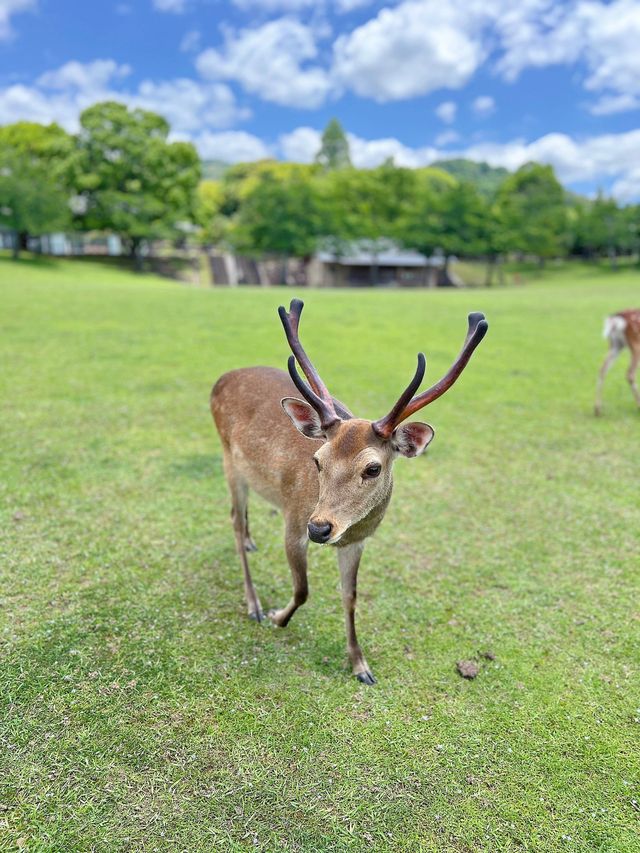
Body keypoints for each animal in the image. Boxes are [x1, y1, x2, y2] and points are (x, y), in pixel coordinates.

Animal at [212, 302, 488, 684]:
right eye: (317, 459)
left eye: (372, 469)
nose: (319, 528)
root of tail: (221, 379)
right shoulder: (293, 520)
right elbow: (302, 588)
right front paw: (277, 617)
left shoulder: (358, 541)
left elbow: (351, 596)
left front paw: (360, 665)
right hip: (229, 461)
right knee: (234, 522)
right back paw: (253, 603)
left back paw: (254, 545)